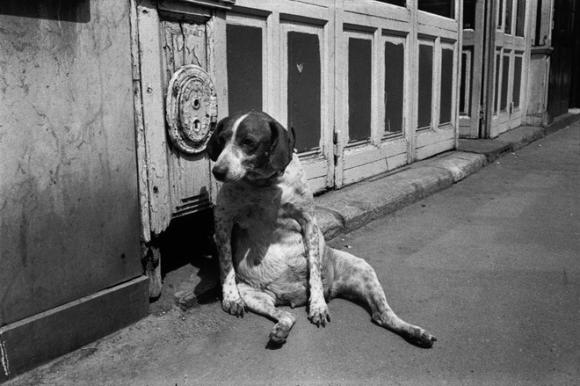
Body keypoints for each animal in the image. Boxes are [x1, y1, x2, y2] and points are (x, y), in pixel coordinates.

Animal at [206, 110, 438, 348]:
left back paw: (416, 332)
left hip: (364, 270)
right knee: (288, 316)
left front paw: (317, 305)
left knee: (383, 315)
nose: (218, 171)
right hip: (253, 294)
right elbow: (226, 264)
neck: (265, 184)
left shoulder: (309, 222)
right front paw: (230, 297)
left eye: (248, 142)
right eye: (221, 139)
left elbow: (314, 269)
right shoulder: (223, 221)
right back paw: (280, 329)